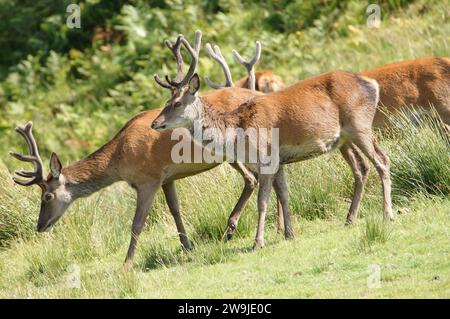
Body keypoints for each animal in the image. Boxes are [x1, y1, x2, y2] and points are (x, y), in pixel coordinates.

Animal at [152, 52, 394, 249]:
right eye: (166, 101)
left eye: (177, 103)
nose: (155, 123)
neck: (238, 134)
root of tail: (372, 83)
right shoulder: (279, 161)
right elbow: (285, 195)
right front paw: (289, 233)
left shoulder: (266, 158)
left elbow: (262, 201)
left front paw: (258, 242)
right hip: (346, 138)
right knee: (363, 167)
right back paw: (350, 218)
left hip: (359, 124)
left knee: (382, 161)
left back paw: (387, 215)